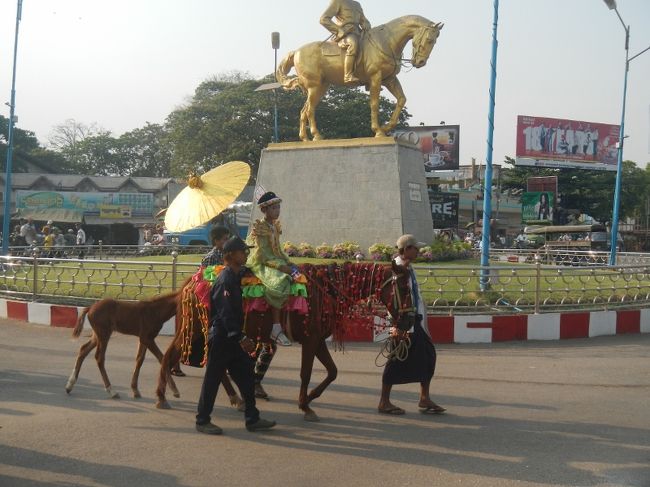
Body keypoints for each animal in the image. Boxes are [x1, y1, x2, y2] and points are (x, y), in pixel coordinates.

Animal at [154, 262, 412, 422]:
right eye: (402, 287)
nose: (410, 320)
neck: (325, 290)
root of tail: (192, 280)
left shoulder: (318, 340)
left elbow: (332, 371)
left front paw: (310, 397)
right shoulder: (310, 340)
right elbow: (306, 373)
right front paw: (305, 405)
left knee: (211, 363)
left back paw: (235, 398)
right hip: (196, 328)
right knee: (169, 356)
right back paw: (161, 396)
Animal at [276, 14, 442, 141]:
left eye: (435, 41)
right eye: (429, 40)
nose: (420, 62)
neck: (387, 41)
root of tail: (296, 52)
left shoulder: (389, 79)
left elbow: (401, 99)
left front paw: (387, 126)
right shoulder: (376, 78)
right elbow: (374, 104)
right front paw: (378, 131)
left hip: (321, 87)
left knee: (304, 110)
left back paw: (304, 138)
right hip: (314, 87)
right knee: (310, 110)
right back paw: (317, 136)